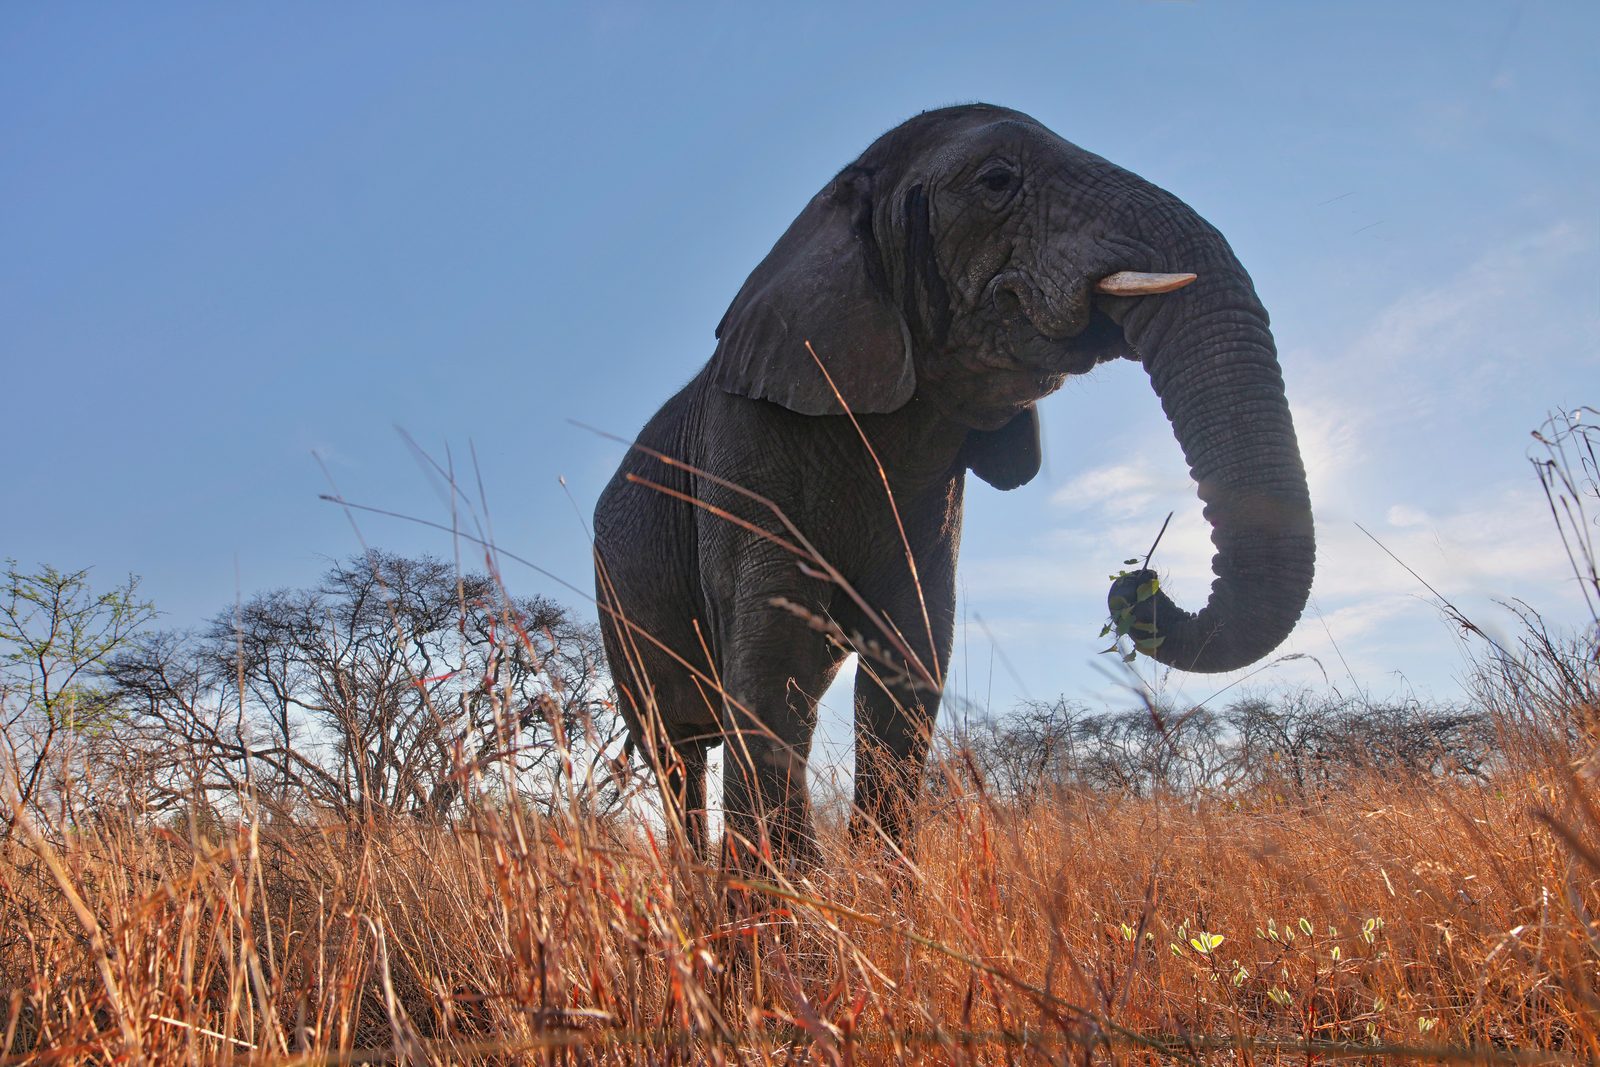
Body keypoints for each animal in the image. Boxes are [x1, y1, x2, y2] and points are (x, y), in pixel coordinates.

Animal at [592, 103, 1314, 867]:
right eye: (996, 181)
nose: (1137, 582)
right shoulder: (744, 448)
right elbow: (772, 652)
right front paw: (788, 903)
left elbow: (912, 654)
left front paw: (880, 887)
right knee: (675, 748)